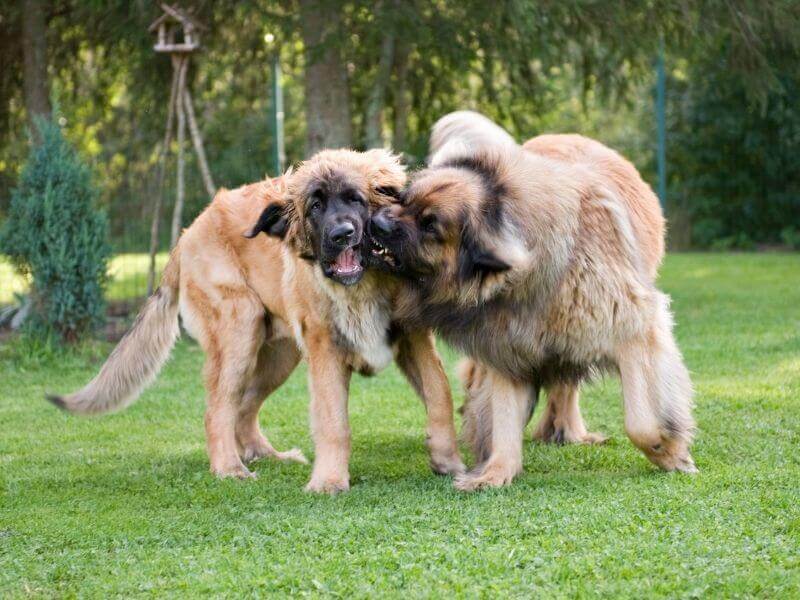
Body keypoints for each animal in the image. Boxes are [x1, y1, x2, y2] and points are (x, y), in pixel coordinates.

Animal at [372, 112, 696, 492]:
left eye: (430, 226)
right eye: (404, 199)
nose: (375, 220)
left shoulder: (635, 329)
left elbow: (641, 421)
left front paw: (671, 453)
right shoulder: (507, 345)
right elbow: (505, 418)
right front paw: (496, 471)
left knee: (568, 381)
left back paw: (568, 431)